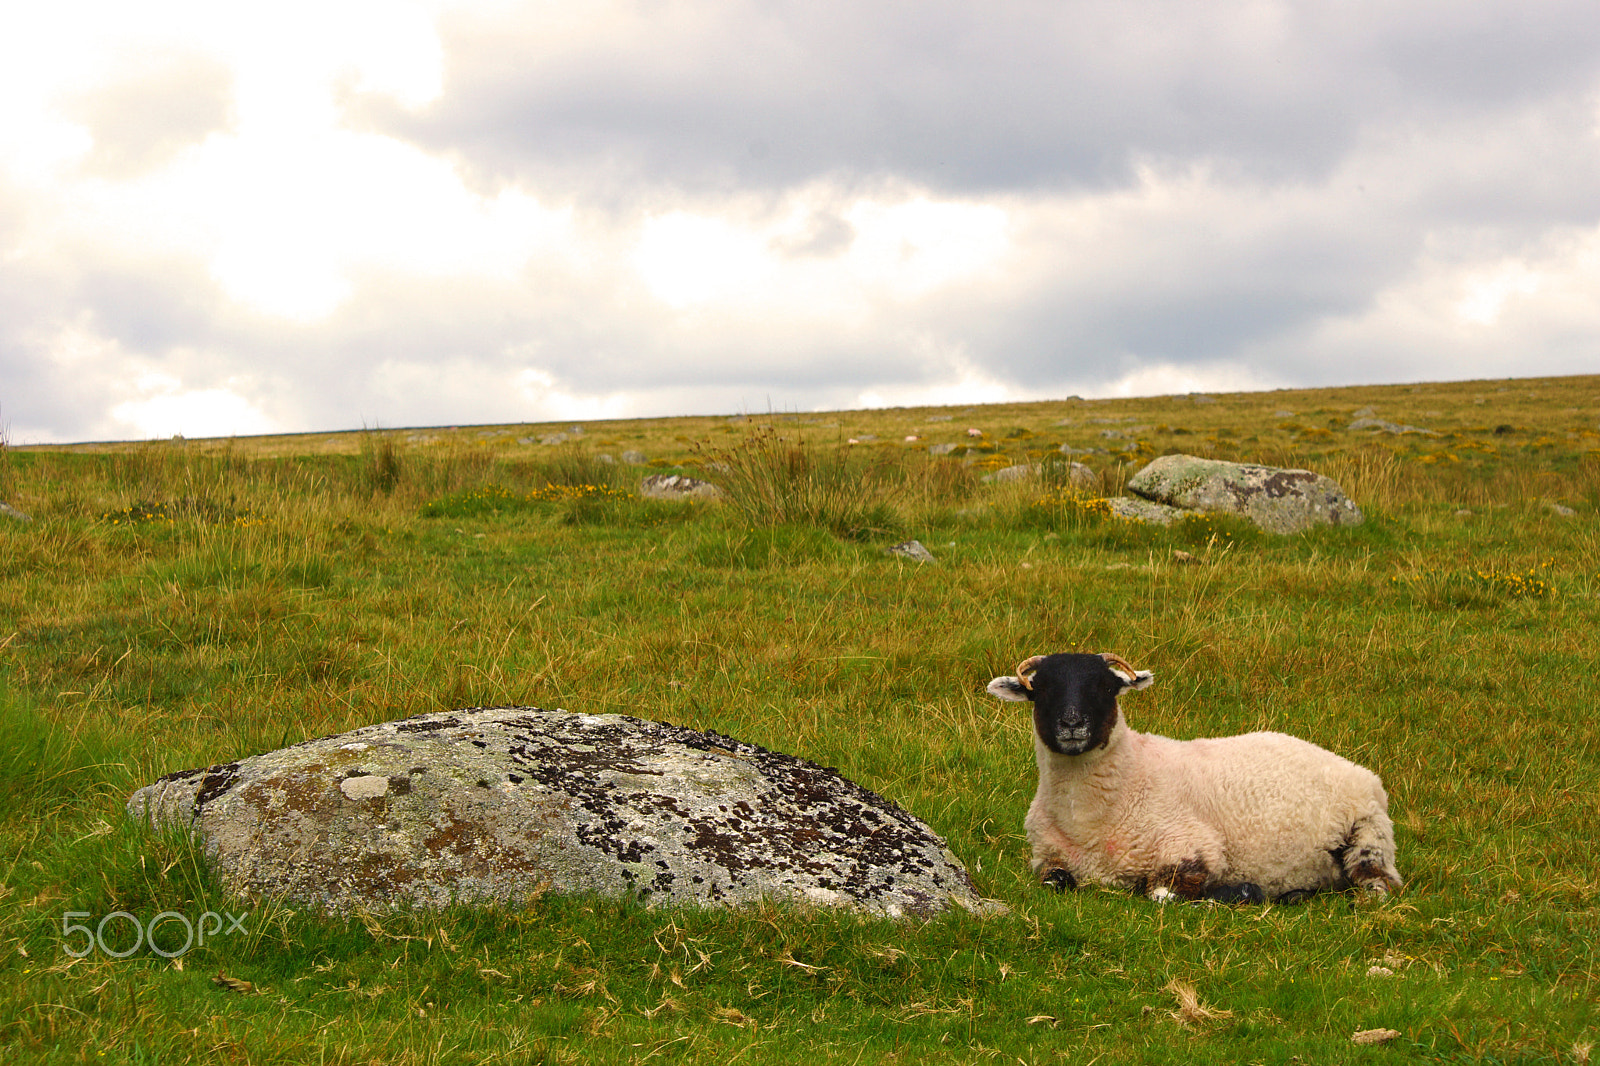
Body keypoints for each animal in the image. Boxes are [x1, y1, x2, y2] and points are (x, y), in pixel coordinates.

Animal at [987, 651, 1402, 903]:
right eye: (1039, 690)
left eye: (1107, 687)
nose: (1072, 723)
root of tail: (1361, 773)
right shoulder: (1047, 859)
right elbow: (1055, 883)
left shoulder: (1193, 848)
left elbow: (1162, 895)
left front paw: (1237, 892)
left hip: (1369, 838)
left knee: (1380, 886)